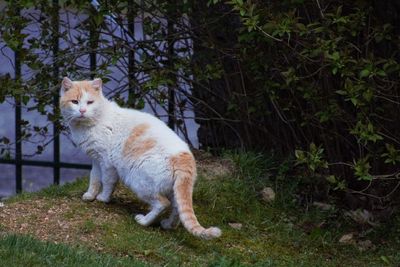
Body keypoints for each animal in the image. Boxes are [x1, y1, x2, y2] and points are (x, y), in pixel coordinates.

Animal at [59, 77, 222, 241]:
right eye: (75, 102)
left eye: (90, 102)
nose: (82, 111)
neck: (93, 122)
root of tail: (183, 157)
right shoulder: (96, 159)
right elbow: (94, 178)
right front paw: (90, 195)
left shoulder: (107, 162)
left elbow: (107, 182)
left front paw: (103, 198)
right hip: (172, 189)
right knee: (177, 207)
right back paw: (168, 225)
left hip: (138, 182)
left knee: (163, 204)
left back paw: (143, 221)